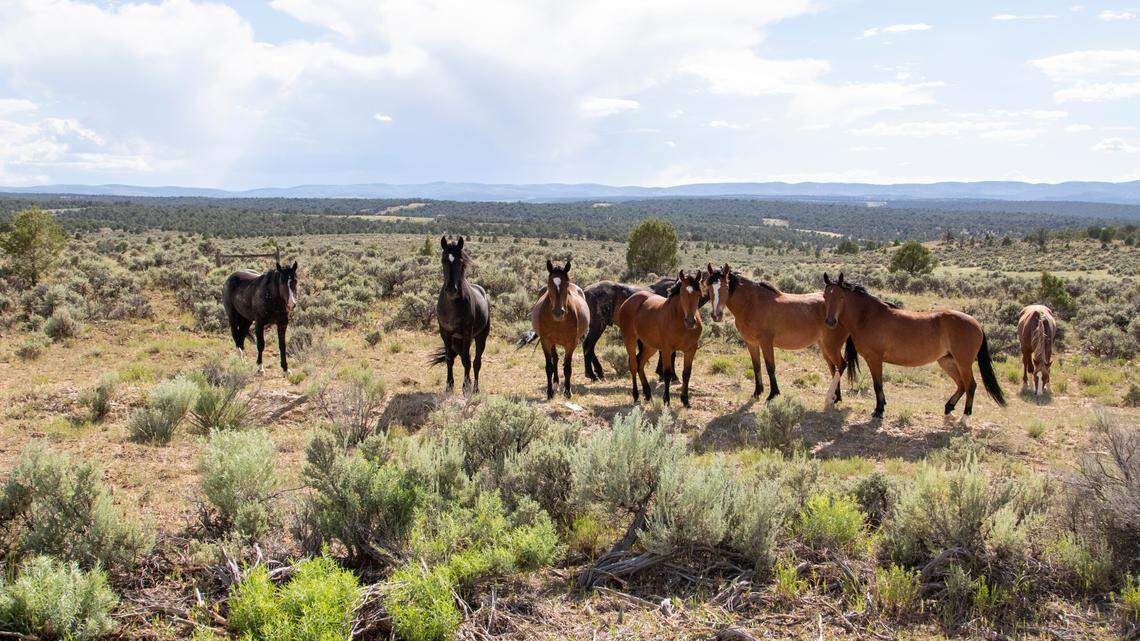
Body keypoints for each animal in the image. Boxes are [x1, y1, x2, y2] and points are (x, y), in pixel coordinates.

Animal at [429, 236, 491, 394]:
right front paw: (449, 386)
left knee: (476, 362)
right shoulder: (445, 333)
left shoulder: (467, 333)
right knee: (464, 357)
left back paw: (475, 388)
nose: (451, 289)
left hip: (480, 337)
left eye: (461, 262)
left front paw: (465, 386)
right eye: (443, 260)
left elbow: (467, 361)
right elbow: (450, 359)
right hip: (457, 341)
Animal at [523, 259, 590, 399]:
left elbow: (568, 368)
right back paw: (555, 384)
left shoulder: (571, 343)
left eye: (567, 284)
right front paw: (549, 393)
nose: (558, 312)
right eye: (549, 284)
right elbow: (549, 367)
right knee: (555, 359)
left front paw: (568, 392)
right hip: (552, 342)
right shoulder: (545, 342)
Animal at [615, 270, 703, 407]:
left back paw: (647, 394)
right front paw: (666, 400)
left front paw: (685, 400)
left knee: (640, 363)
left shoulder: (691, 349)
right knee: (633, 365)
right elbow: (667, 373)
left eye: (698, 294)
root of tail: (628, 301)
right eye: (682, 293)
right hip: (629, 339)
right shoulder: (667, 350)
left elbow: (686, 374)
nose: (690, 321)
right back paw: (636, 396)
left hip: (650, 346)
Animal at [700, 263, 857, 403]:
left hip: (831, 346)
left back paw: (834, 398)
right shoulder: (751, 343)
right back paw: (836, 397)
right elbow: (756, 366)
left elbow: (770, 367)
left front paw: (772, 394)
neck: (752, 303)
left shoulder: (766, 342)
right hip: (824, 346)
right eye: (708, 286)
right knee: (833, 368)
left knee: (841, 365)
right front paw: (757, 392)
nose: (716, 315)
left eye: (725, 286)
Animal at [822, 272, 1005, 418]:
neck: (867, 317)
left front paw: (878, 411)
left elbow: (877, 384)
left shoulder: (875, 359)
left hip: (963, 363)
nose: (830, 322)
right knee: (961, 385)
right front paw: (882, 407)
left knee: (971, 385)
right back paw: (948, 408)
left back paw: (964, 417)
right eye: (825, 297)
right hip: (947, 361)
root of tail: (977, 323)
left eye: (841, 297)